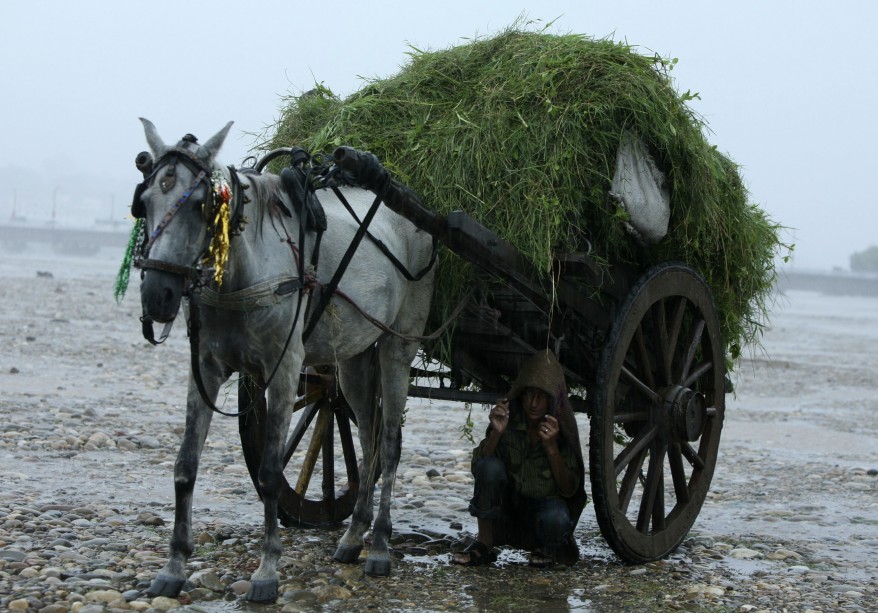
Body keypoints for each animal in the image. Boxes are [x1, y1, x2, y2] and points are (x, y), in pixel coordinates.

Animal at [134, 119, 436, 604]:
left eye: (201, 205)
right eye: (143, 202)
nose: (157, 296)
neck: (245, 267)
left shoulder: (283, 371)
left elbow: (272, 473)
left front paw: (267, 571)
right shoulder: (205, 370)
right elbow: (185, 465)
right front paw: (174, 566)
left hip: (398, 346)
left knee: (388, 445)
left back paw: (380, 546)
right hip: (353, 360)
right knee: (367, 440)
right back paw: (354, 535)